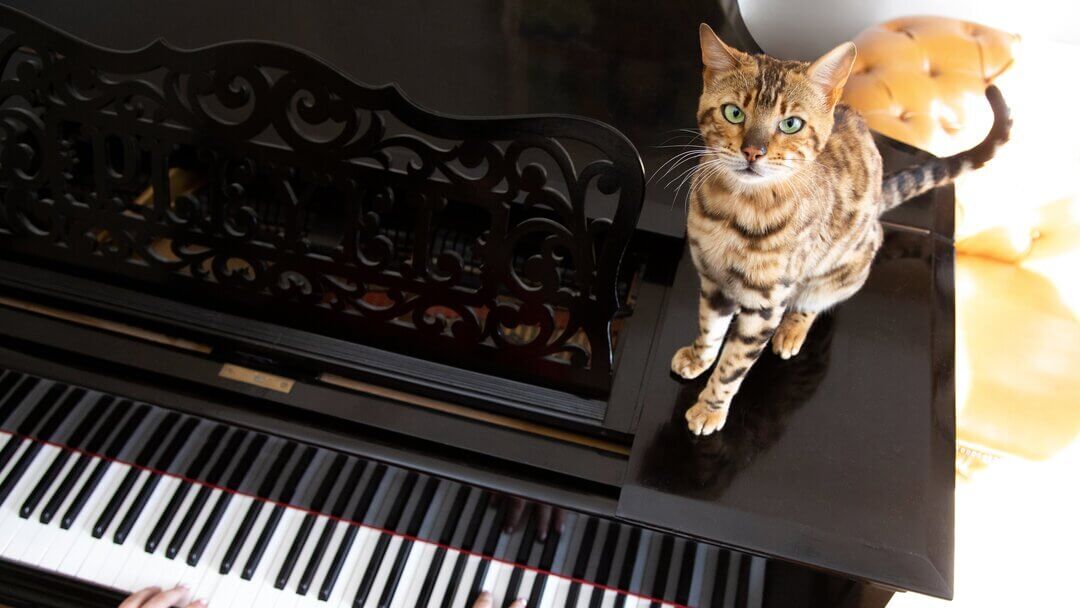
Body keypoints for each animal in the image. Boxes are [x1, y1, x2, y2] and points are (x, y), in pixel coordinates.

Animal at [673, 22, 1010, 431]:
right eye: (734, 113)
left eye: (790, 124)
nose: (754, 152)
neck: (734, 212)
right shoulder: (712, 280)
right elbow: (709, 328)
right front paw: (698, 357)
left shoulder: (767, 303)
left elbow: (734, 365)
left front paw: (710, 407)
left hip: (840, 269)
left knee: (815, 300)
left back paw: (792, 329)